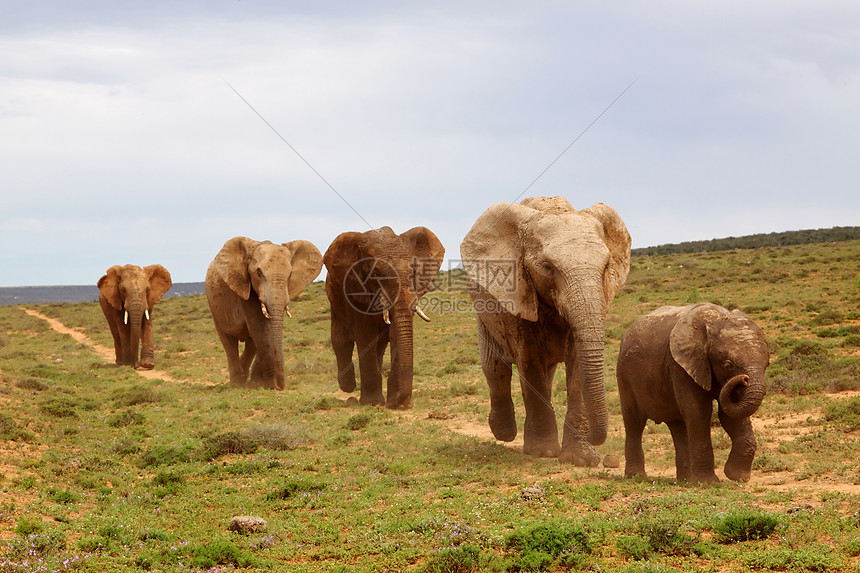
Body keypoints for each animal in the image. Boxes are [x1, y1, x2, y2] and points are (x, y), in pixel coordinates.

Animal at [205, 236, 322, 388]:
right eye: (258, 274)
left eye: (290, 275)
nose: (281, 386)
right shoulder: (244, 285)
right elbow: (259, 327)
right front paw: (268, 385)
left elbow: (263, 331)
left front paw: (259, 384)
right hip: (215, 308)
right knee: (229, 342)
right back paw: (237, 384)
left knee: (251, 344)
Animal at [322, 226, 444, 408]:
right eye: (375, 274)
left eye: (413, 272)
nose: (401, 402)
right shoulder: (354, 290)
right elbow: (365, 335)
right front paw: (373, 403)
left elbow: (393, 333)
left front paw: (394, 402)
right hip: (334, 299)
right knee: (341, 340)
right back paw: (348, 387)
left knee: (378, 346)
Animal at [456, 197, 632, 464]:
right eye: (548, 267)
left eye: (606, 267)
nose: (595, 438)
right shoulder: (518, 292)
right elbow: (529, 361)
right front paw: (543, 452)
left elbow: (577, 363)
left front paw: (581, 460)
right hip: (483, 312)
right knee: (495, 368)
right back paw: (503, 433)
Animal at [620, 302, 772, 480]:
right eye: (728, 364)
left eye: (767, 364)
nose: (744, 379)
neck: (715, 319)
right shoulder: (681, 365)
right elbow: (699, 412)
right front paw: (707, 483)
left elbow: (729, 415)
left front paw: (737, 476)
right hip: (624, 374)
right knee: (634, 422)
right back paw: (636, 477)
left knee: (677, 426)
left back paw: (685, 480)